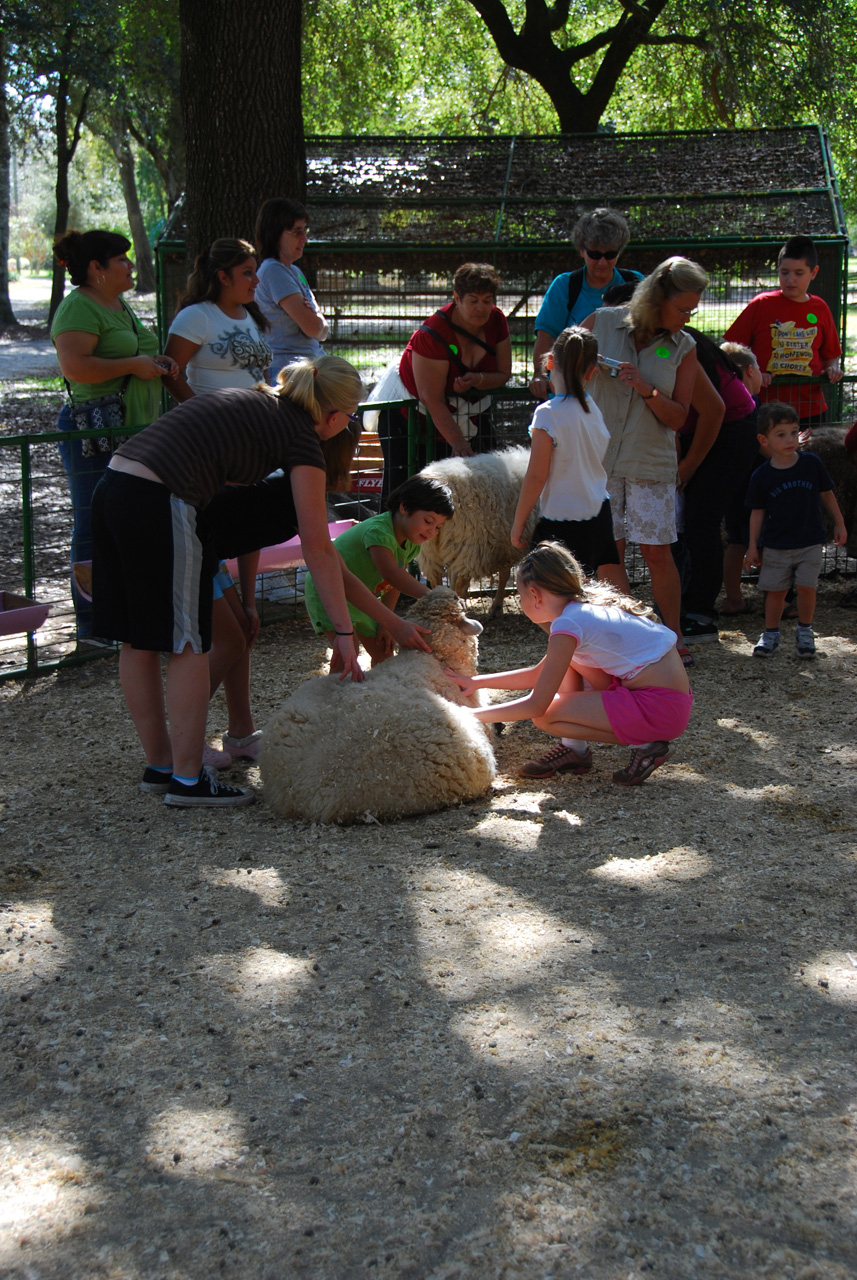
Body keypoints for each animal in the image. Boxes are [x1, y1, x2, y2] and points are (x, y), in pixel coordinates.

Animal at [416, 442, 537, 616]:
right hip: (469, 546)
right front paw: (497, 606)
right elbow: (505, 575)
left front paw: (497, 606)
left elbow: (504, 574)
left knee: (436, 581)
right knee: (460, 585)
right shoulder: (506, 545)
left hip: (430, 549)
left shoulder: (504, 544)